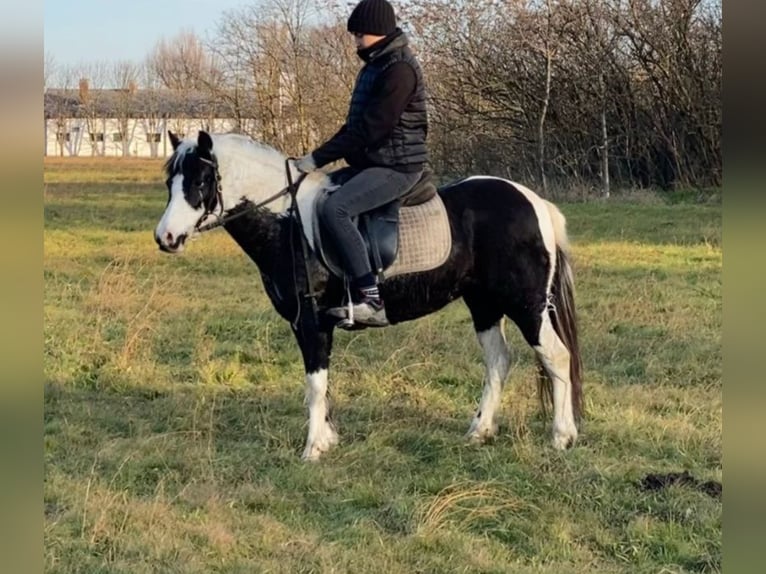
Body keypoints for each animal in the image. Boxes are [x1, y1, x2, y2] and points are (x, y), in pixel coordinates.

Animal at [156, 130, 584, 464]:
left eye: (200, 182)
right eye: (170, 183)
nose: (165, 238)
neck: (288, 223)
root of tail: (533, 202)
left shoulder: (310, 320)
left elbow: (314, 384)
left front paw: (313, 448)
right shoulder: (308, 324)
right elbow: (322, 382)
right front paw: (328, 439)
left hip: (526, 304)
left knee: (555, 356)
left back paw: (562, 436)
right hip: (484, 304)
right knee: (498, 361)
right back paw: (480, 431)